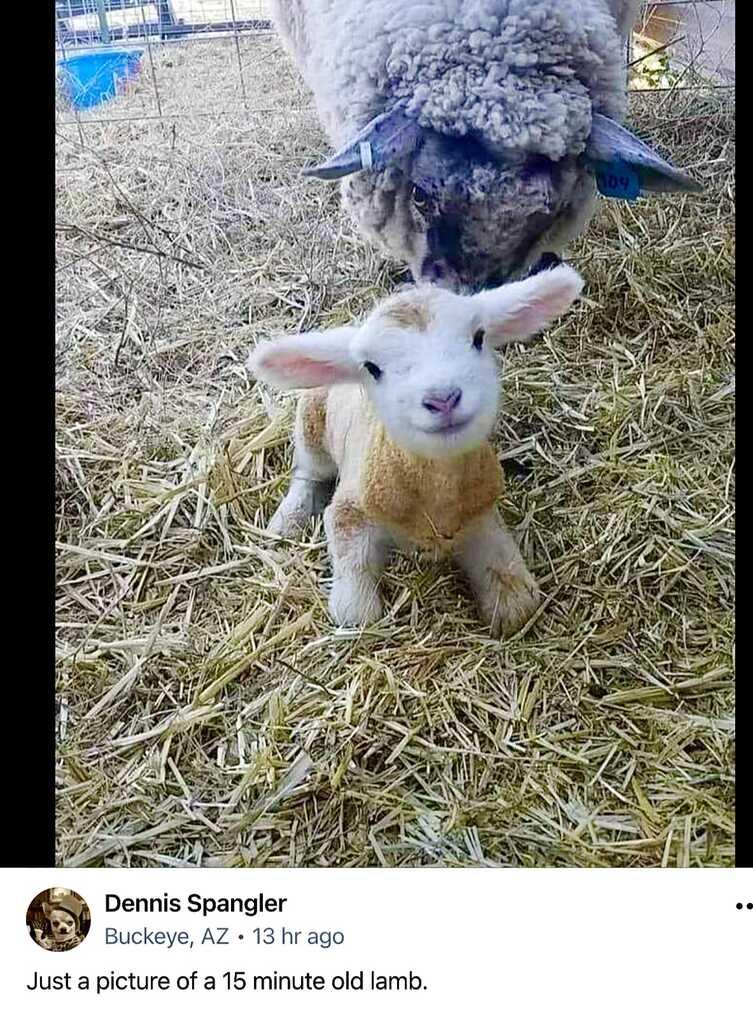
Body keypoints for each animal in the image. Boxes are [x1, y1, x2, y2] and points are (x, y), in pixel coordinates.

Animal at [247, 264, 584, 636]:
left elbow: (515, 594)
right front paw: (356, 607)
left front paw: (508, 601)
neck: (435, 496)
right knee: (309, 473)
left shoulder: (479, 512)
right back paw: (287, 520)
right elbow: (356, 608)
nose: (443, 398)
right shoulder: (352, 510)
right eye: (372, 367)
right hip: (311, 424)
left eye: (479, 337)